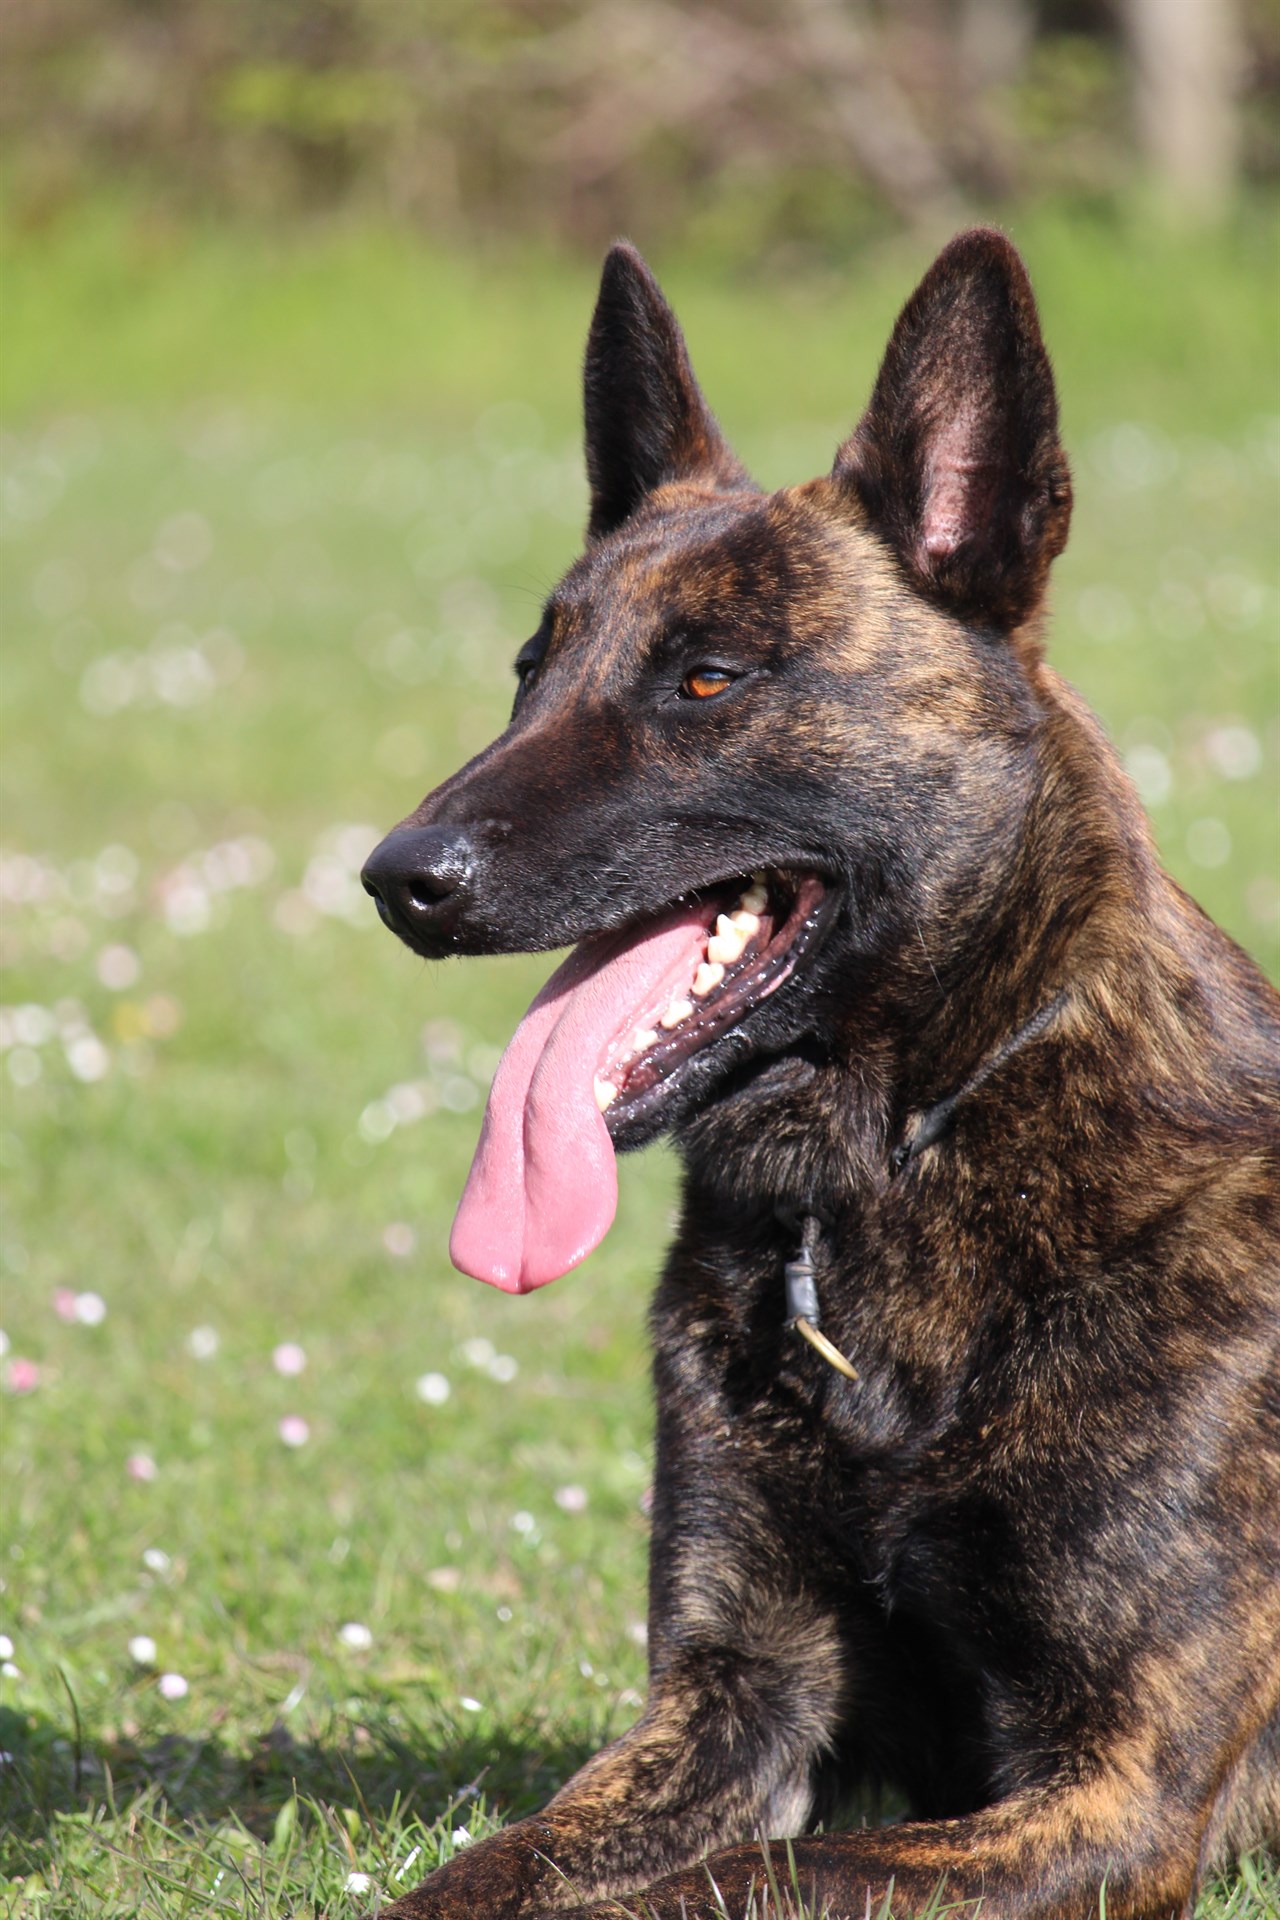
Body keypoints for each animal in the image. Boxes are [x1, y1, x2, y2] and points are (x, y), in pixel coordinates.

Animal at [360, 236, 1280, 1920]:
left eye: (709, 681)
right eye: (531, 671)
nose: (400, 880)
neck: (896, 1173)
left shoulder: (1115, 1792)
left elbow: (737, 1884)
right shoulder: (734, 1702)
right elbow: (498, 1870)